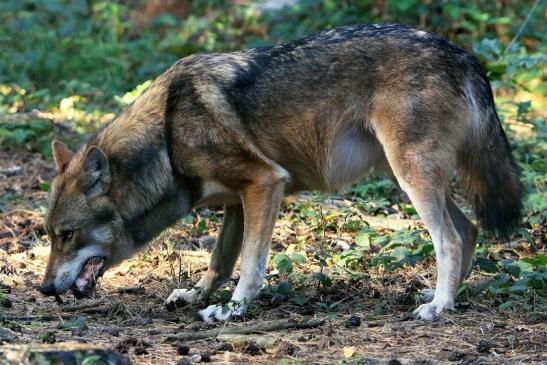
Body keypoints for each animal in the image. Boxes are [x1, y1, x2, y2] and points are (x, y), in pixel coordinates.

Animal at [39, 24, 524, 320]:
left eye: (66, 235)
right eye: (50, 235)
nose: (44, 289)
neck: (167, 137)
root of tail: (463, 55)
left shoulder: (265, 183)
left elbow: (251, 265)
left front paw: (232, 311)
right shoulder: (237, 202)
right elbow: (219, 262)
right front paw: (196, 296)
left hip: (410, 176)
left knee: (450, 239)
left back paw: (437, 307)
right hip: (409, 175)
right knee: (469, 230)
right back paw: (449, 299)